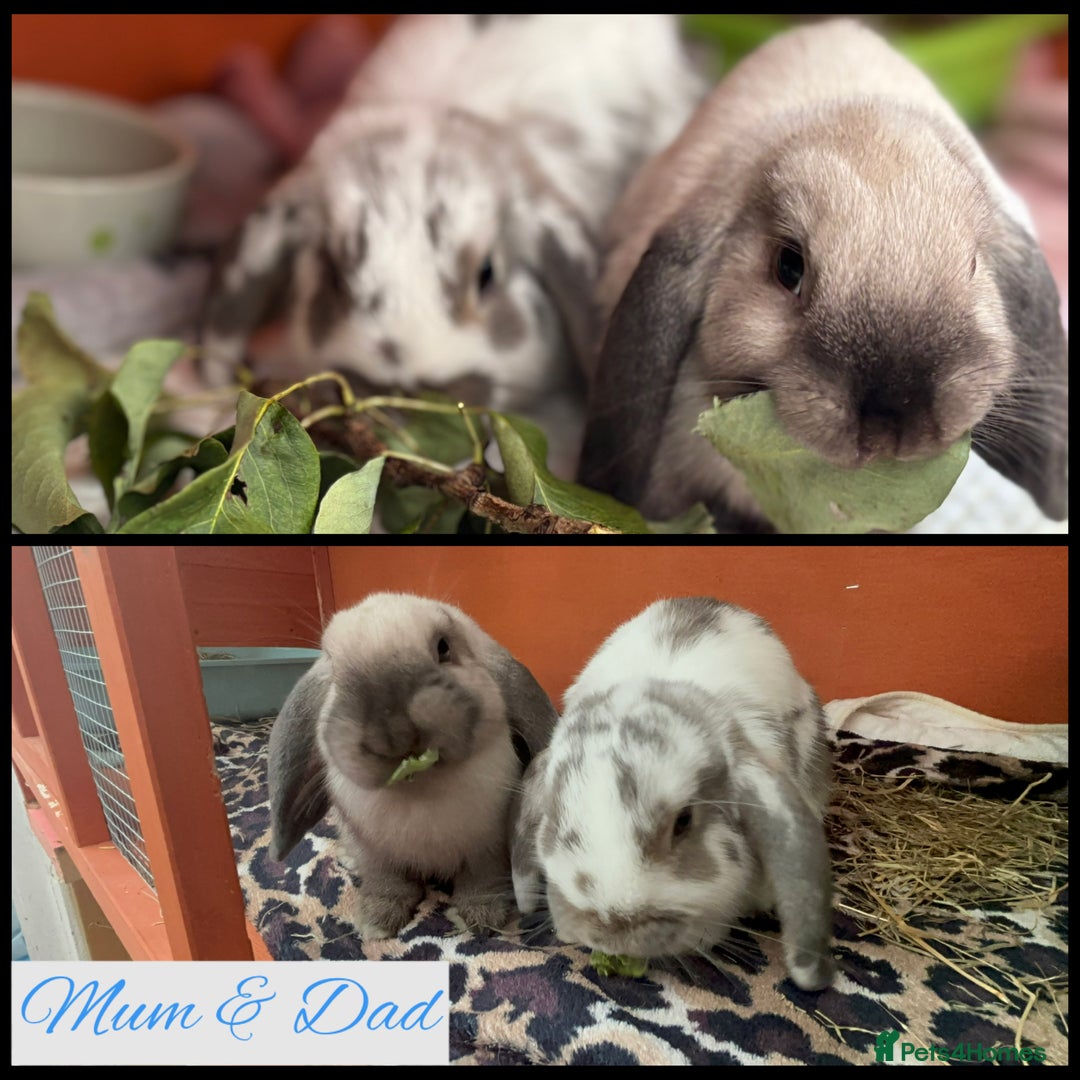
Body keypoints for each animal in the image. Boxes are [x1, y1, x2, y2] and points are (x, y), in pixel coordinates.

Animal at [268, 591, 558, 939]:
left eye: (444, 647)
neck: (421, 789)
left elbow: (480, 883)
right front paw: (377, 923)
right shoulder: (376, 853)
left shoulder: (488, 850)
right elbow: (389, 884)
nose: (392, 731)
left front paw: (481, 919)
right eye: (336, 673)